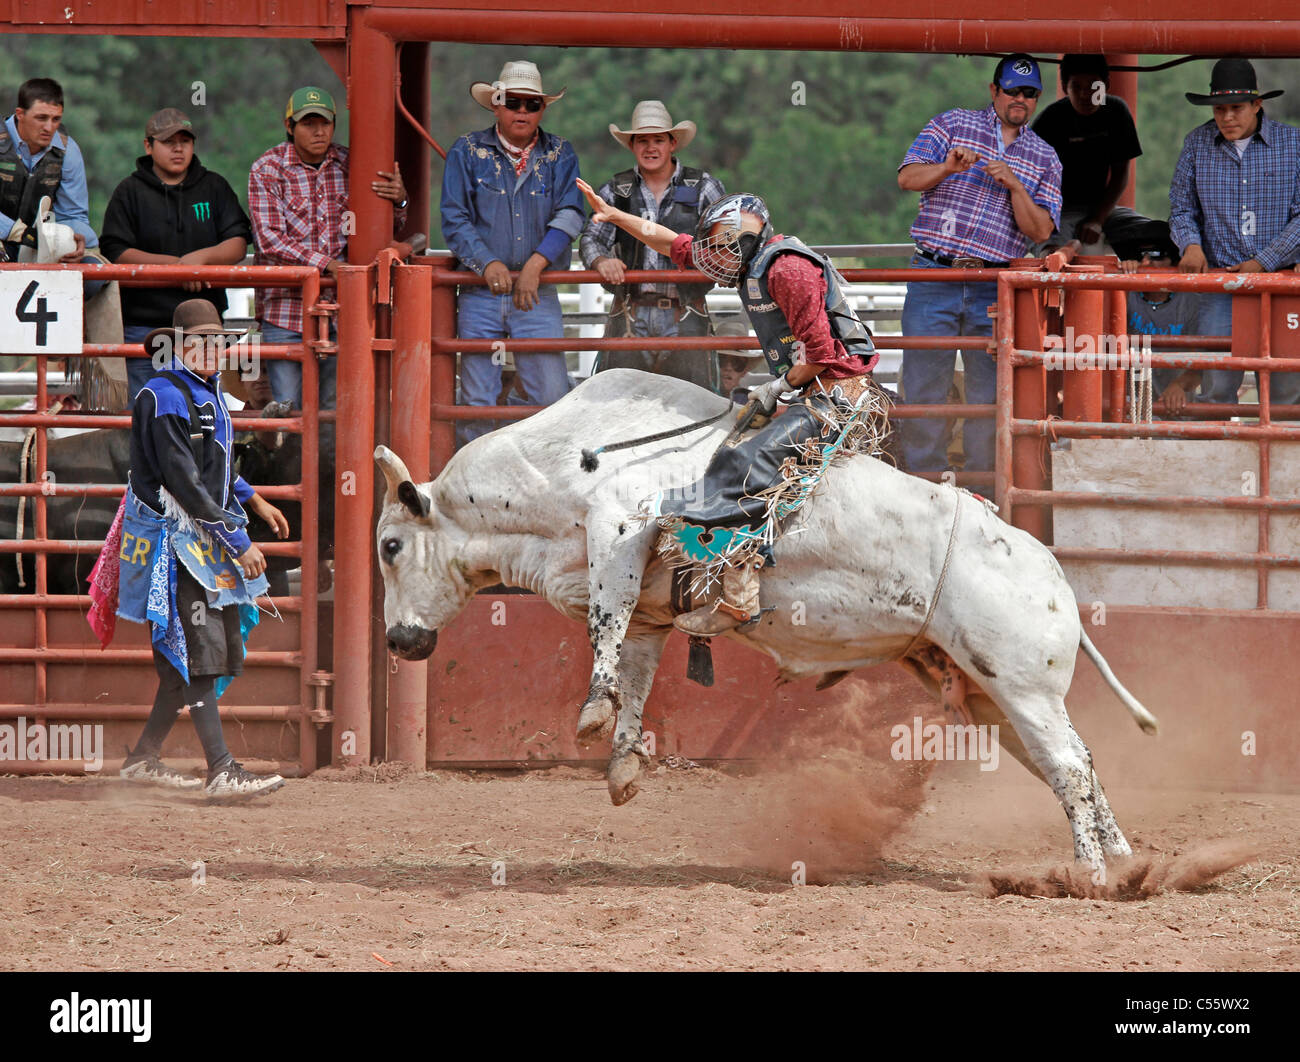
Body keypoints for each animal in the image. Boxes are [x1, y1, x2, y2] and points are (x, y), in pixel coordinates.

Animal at [373, 369, 1159, 874]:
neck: (565, 459)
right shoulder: (651, 608)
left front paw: (592, 714)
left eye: (389, 546)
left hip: (1022, 687)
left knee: (1068, 766)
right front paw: (623, 762)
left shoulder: (619, 526)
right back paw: (1124, 865)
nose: (397, 640)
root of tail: (1054, 576)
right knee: (1076, 764)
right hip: (989, 694)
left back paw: (1091, 874)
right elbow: (636, 664)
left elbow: (605, 623)